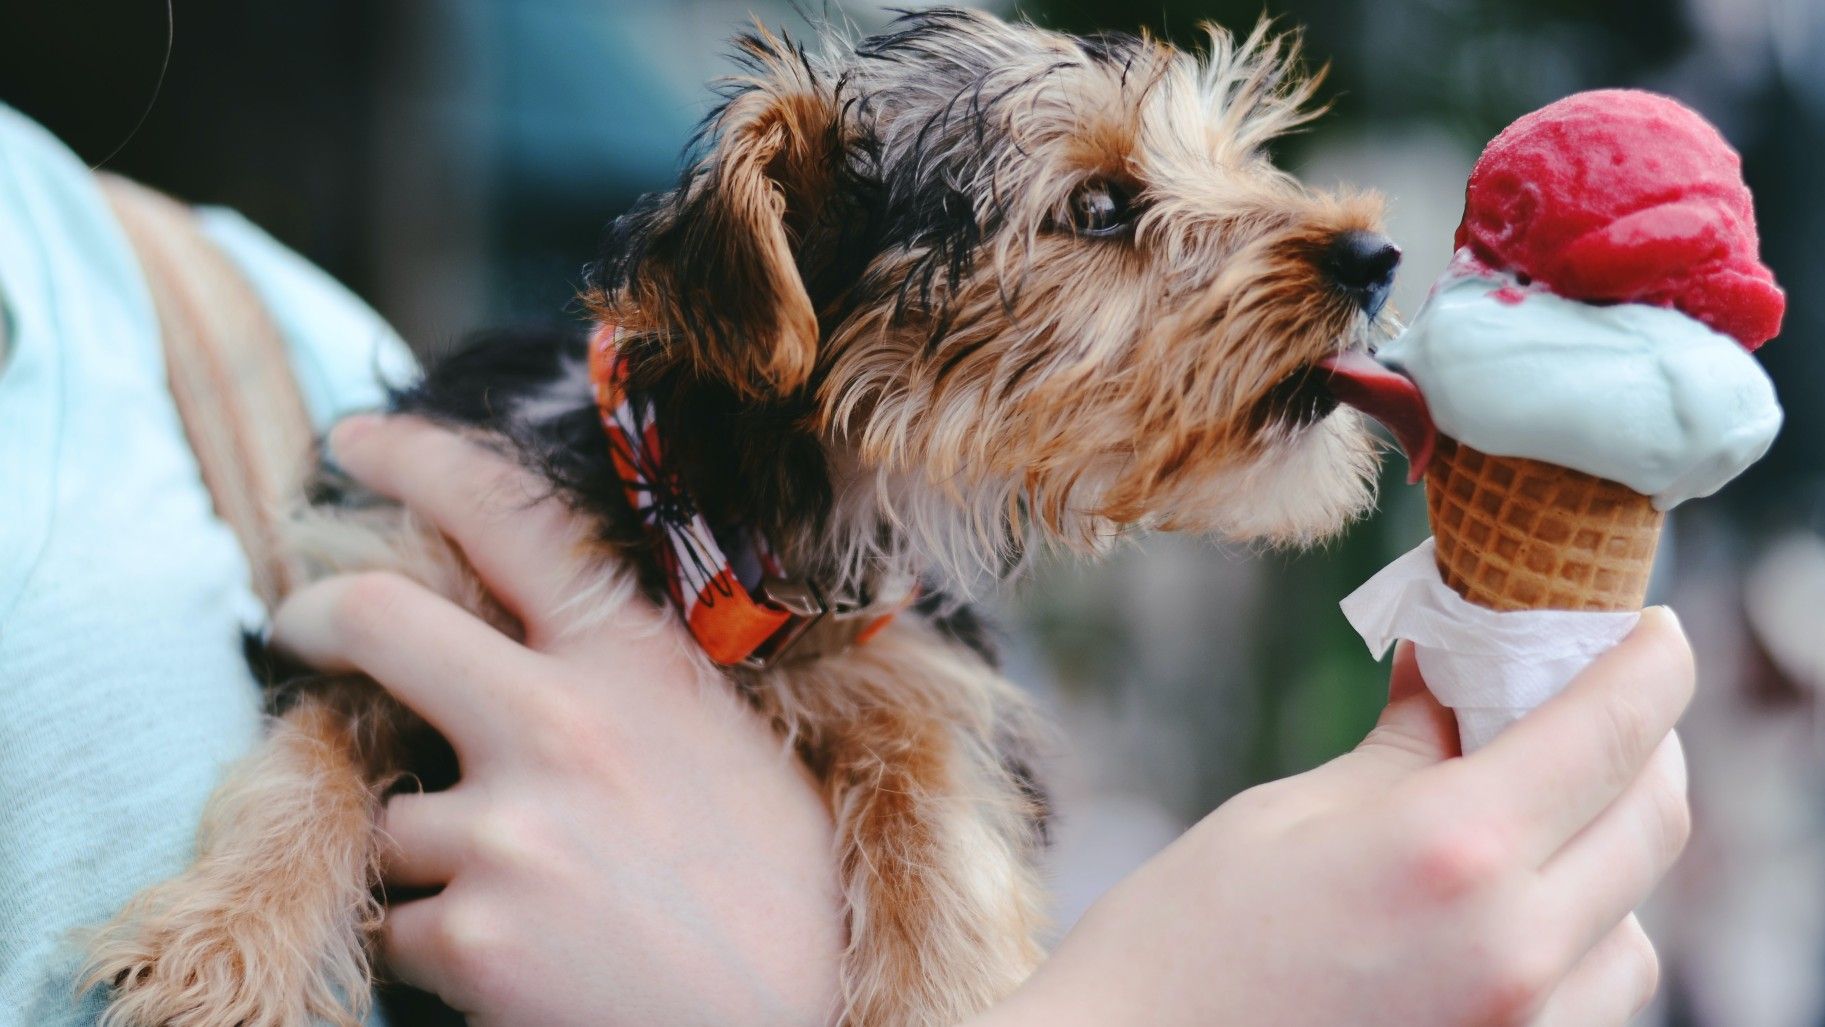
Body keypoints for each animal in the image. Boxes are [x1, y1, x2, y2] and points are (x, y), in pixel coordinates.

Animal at [78, 10, 1394, 1027]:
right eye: (1103, 204)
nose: (1376, 257)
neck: (713, 517)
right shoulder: (387, 581)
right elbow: (308, 754)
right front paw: (226, 948)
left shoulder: (914, 662)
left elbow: (935, 801)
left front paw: (936, 984)